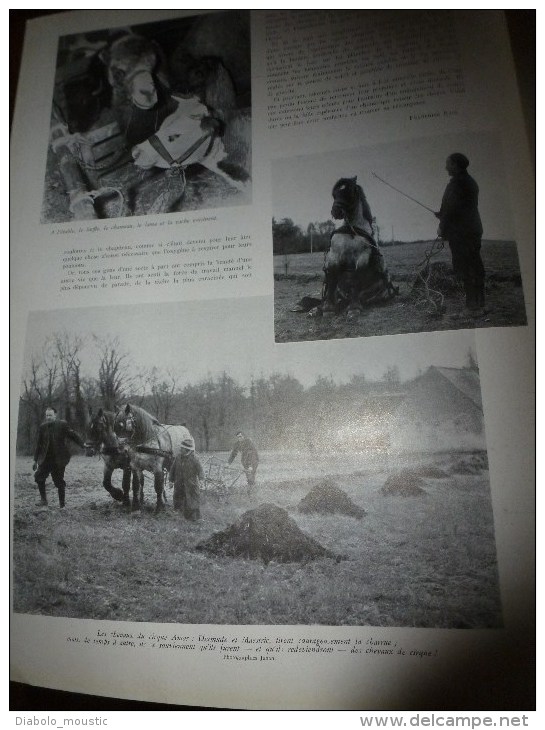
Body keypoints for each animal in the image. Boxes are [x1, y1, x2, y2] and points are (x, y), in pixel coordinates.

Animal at [324, 176, 396, 316]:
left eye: (349, 192)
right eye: (335, 194)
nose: (335, 211)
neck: (352, 230)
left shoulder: (361, 258)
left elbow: (356, 280)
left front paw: (354, 308)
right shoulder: (334, 256)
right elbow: (332, 281)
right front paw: (328, 308)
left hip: (382, 288)